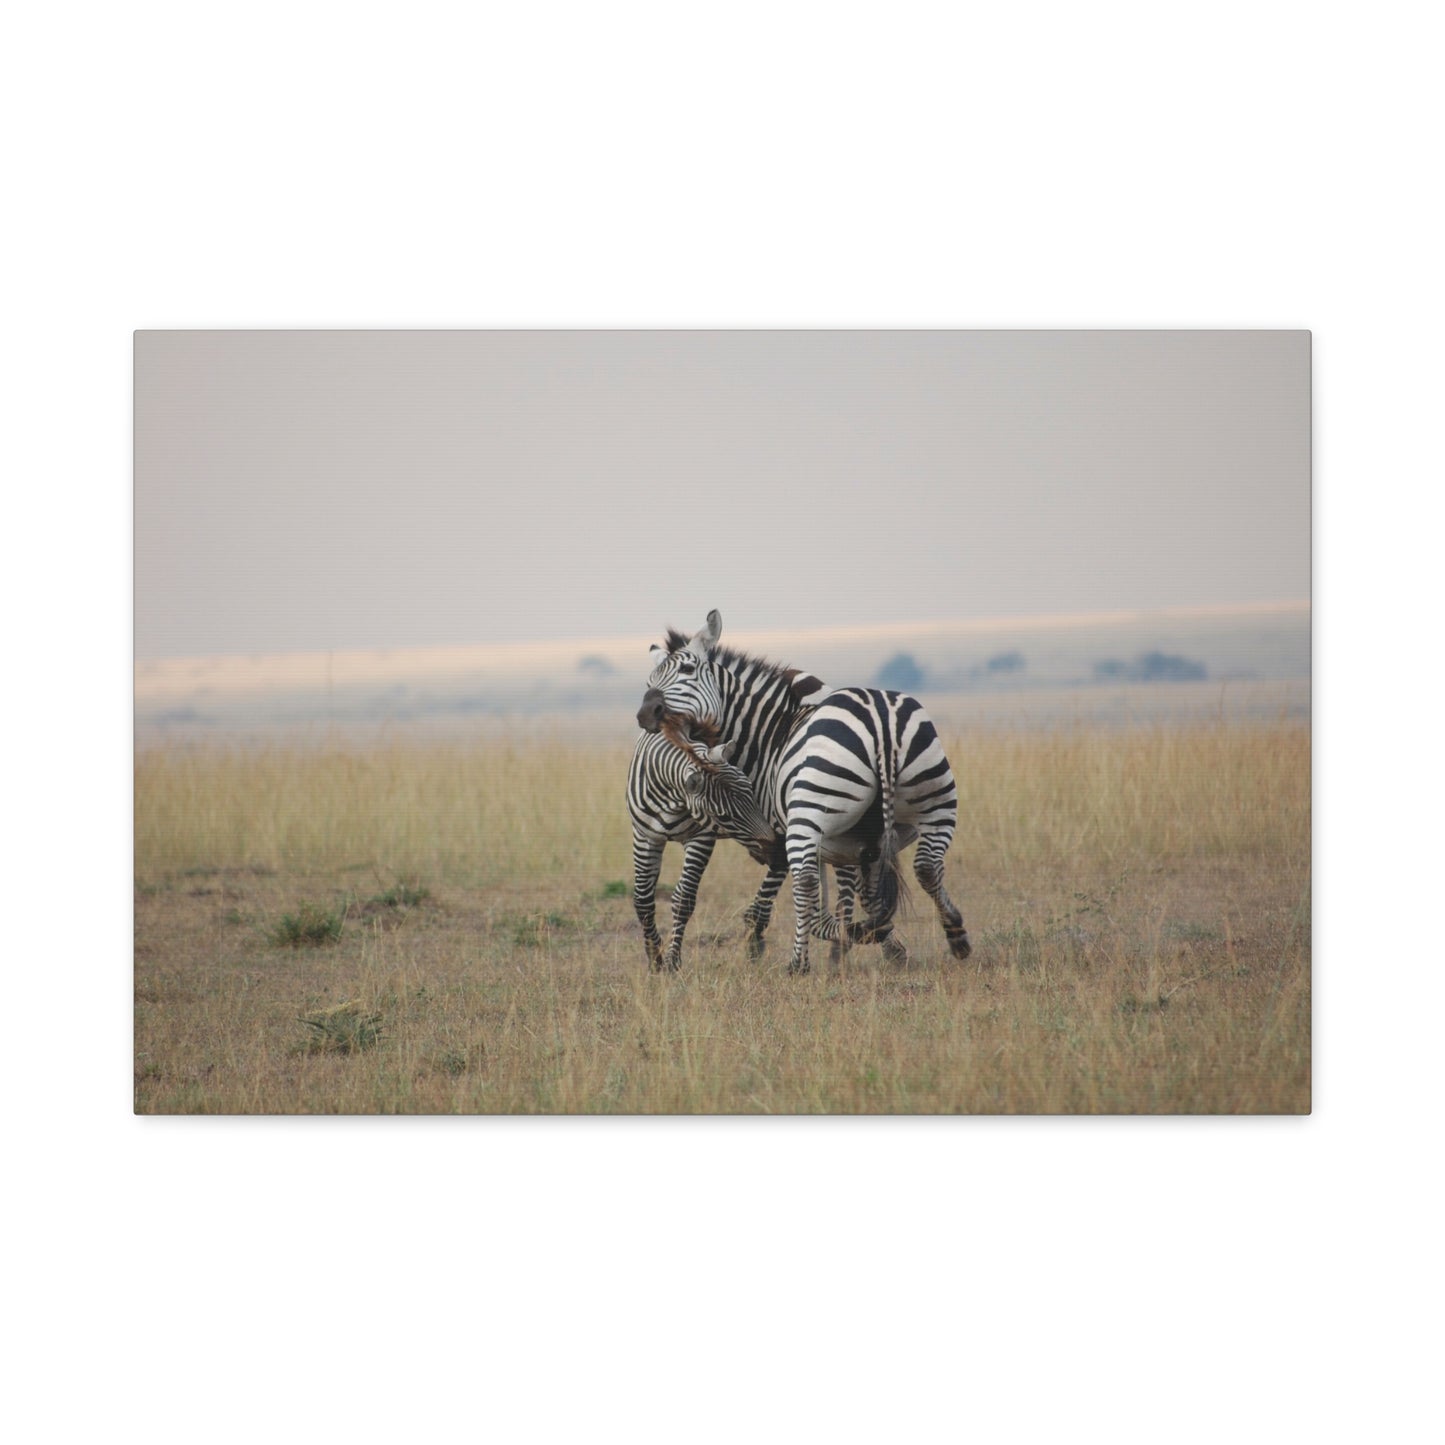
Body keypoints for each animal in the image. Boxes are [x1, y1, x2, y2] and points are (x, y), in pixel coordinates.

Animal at [637, 610, 971, 975]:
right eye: (650, 681)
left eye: (687, 670)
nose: (645, 713)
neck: (770, 733)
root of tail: (879, 720)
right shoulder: (853, 842)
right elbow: (860, 894)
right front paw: (875, 938)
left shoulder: (782, 828)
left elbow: (800, 890)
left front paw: (760, 939)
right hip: (938, 800)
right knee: (927, 865)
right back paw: (956, 936)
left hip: (809, 815)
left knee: (807, 881)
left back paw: (799, 963)